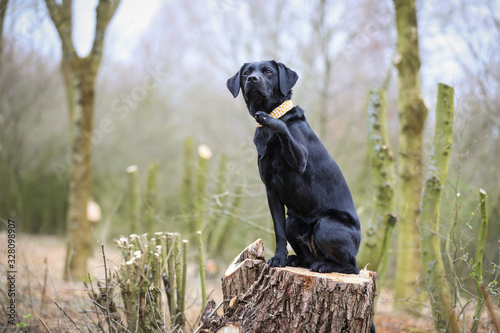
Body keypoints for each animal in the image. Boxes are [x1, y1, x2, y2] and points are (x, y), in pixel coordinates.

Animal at [227, 59, 360, 272]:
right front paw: (279, 258)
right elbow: (278, 230)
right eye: (246, 72)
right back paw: (297, 260)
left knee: (351, 266)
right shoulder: (271, 191)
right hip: (293, 221)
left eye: (268, 71)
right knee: (307, 256)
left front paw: (269, 119)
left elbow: (281, 126)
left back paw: (324, 266)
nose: (252, 79)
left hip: (326, 225)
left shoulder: (300, 160)